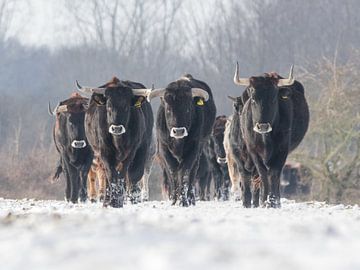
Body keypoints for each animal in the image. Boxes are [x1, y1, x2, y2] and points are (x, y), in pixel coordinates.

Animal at [75, 77, 154, 208]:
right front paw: (113, 202)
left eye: (126, 107)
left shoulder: (130, 153)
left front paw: (118, 201)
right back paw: (107, 200)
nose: (116, 128)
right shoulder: (105, 153)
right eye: (108, 106)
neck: (119, 140)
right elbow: (111, 176)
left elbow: (123, 176)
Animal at [150, 74, 217, 207]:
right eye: (168, 109)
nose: (179, 131)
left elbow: (185, 173)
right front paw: (175, 200)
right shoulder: (164, 150)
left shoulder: (193, 150)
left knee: (193, 172)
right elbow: (173, 173)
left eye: (187, 108)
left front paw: (183, 200)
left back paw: (191, 198)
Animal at [233, 62, 310, 208]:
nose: (263, 126)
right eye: (253, 99)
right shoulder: (254, 152)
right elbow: (263, 175)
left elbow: (274, 174)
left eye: (274, 99)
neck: (265, 138)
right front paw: (264, 201)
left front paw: (274, 201)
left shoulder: (282, 151)